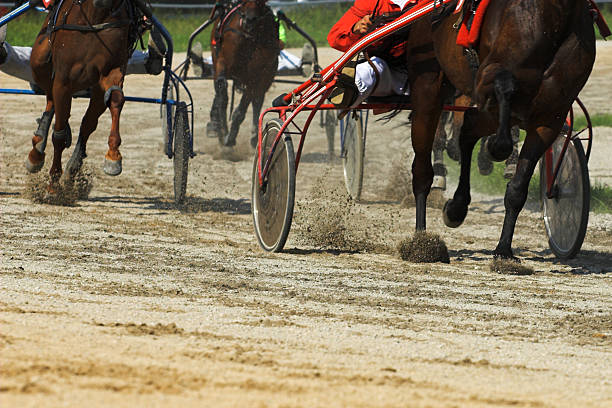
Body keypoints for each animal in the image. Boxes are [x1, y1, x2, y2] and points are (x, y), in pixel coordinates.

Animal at [25, 0, 144, 191]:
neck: (95, 16)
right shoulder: (63, 81)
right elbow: (58, 136)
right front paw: (53, 185)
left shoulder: (110, 72)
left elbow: (115, 99)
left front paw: (113, 157)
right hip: (40, 59)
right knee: (50, 98)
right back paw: (37, 149)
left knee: (87, 124)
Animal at [208, 0, 280, 149]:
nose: (249, 19)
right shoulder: (221, 61)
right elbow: (222, 93)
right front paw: (221, 129)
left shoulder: (256, 77)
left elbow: (241, 110)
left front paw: (230, 137)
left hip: (267, 76)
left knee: (257, 100)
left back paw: (254, 136)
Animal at [404, 0, 596, 258]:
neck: (552, 19)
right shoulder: (487, 79)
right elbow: (504, 86)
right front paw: (494, 149)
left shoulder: (548, 118)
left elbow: (517, 189)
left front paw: (504, 248)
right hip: (427, 86)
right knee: (423, 168)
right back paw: (422, 239)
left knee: (468, 129)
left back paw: (456, 207)